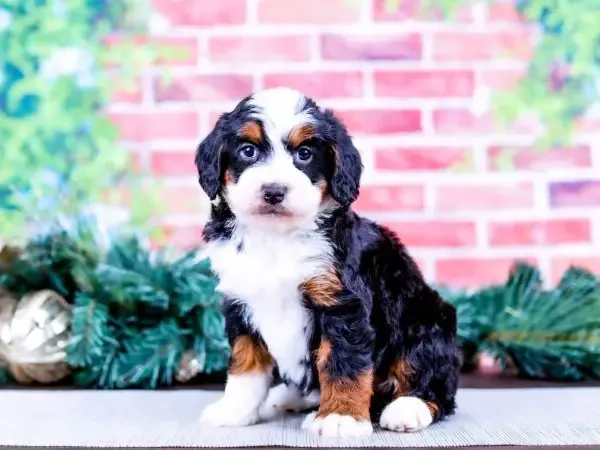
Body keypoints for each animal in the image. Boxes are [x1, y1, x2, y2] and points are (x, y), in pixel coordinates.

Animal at [195, 86, 458, 438]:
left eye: (305, 154)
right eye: (247, 151)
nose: (274, 191)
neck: (277, 238)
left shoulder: (341, 303)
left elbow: (342, 363)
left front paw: (340, 417)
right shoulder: (240, 303)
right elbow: (245, 365)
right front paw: (234, 410)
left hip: (424, 320)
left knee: (432, 382)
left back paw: (407, 409)